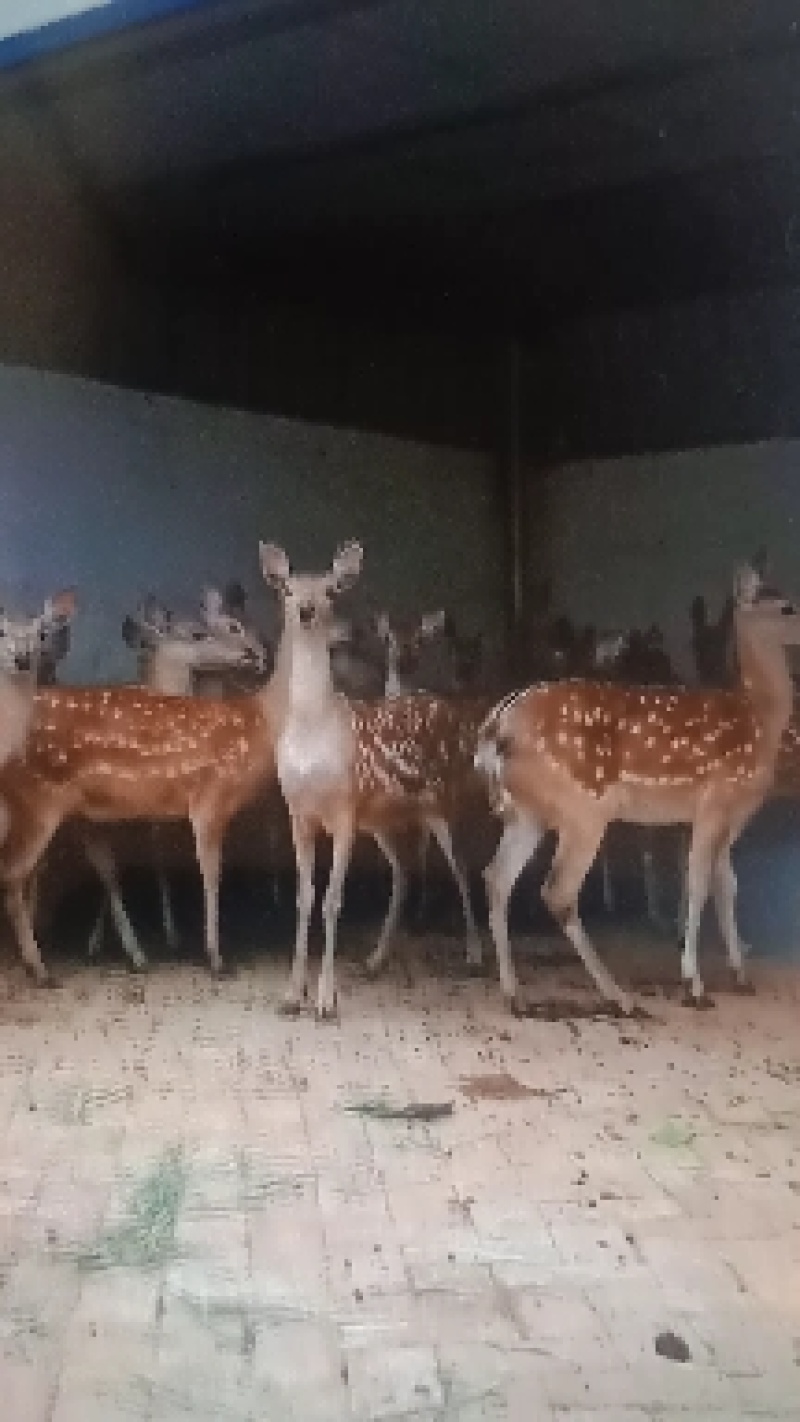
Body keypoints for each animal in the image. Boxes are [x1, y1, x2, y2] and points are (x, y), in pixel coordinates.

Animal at [474, 559, 800, 1016]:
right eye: (788, 607)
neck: (759, 719)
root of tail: (494, 729)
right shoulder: (713, 801)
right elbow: (698, 883)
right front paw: (694, 984)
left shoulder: (735, 816)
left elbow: (727, 885)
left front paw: (741, 976)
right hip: (584, 808)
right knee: (557, 891)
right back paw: (619, 997)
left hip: (527, 813)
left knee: (496, 877)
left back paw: (515, 995)